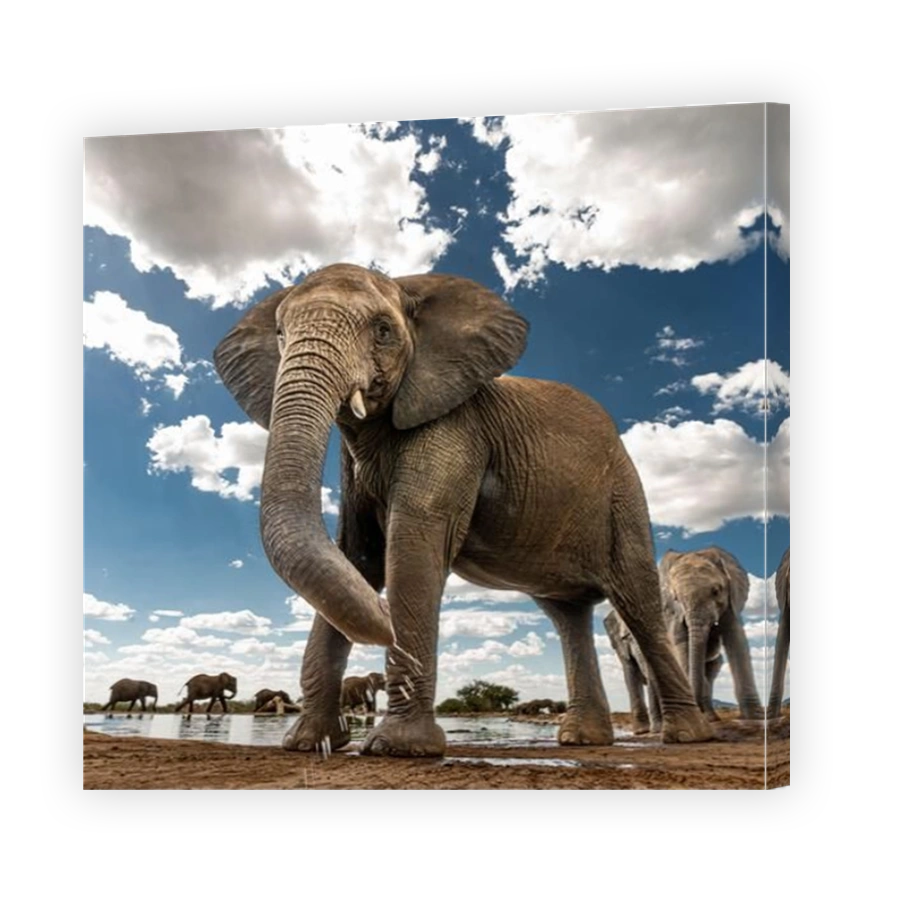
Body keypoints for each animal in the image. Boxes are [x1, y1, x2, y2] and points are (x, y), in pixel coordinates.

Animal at [213, 262, 712, 757]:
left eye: (383, 330)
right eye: (280, 332)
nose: (385, 621)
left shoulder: (456, 428)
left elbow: (412, 542)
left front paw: (399, 748)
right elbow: (356, 559)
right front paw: (307, 744)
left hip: (624, 495)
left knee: (638, 603)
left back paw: (687, 736)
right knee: (567, 616)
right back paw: (584, 740)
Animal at [659, 547, 764, 722]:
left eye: (716, 592)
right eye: (676, 598)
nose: (698, 709)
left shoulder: (731, 601)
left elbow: (735, 638)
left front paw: (756, 718)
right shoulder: (672, 614)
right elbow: (683, 645)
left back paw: (711, 718)